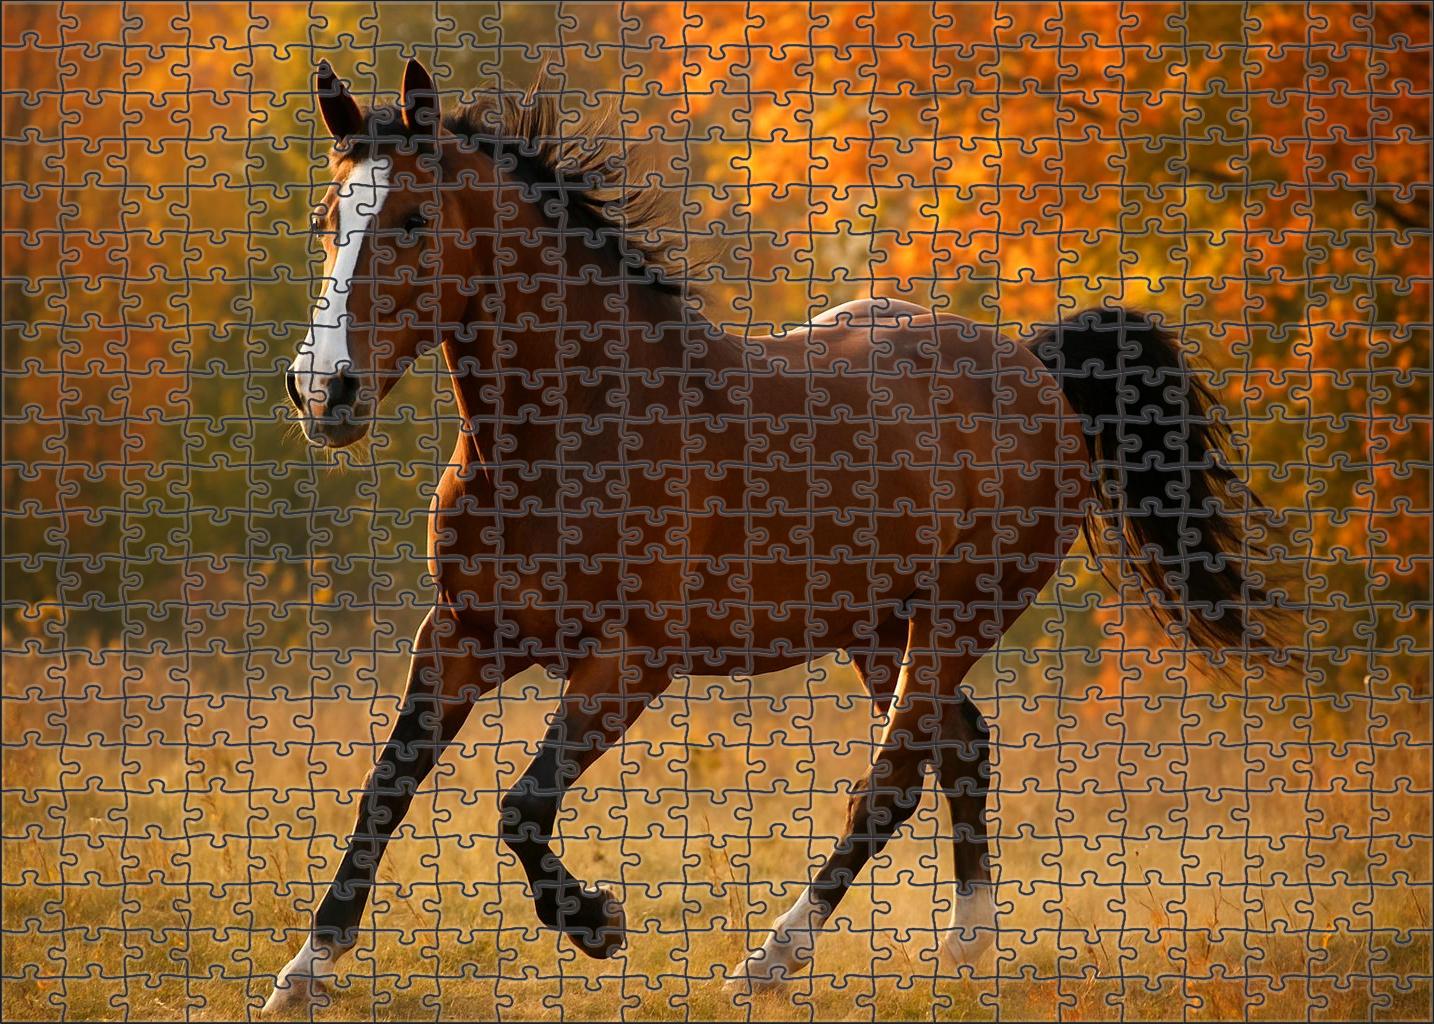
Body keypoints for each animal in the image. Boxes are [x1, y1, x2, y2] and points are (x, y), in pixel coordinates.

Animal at [264, 59, 1279, 1013]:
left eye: (412, 221)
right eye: (325, 222)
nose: (322, 393)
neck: (579, 429)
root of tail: (1034, 367)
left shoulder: (629, 663)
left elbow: (520, 808)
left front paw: (597, 922)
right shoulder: (461, 637)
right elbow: (387, 787)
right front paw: (305, 970)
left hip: (955, 623)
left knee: (892, 781)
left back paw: (774, 960)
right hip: (879, 632)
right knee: (959, 751)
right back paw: (966, 950)